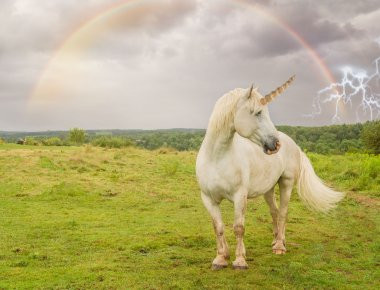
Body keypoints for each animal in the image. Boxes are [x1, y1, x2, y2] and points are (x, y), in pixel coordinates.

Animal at [196, 76, 344, 270]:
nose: (276, 144)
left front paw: (240, 261)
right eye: (258, 112)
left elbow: (238, 227)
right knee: (274, 211)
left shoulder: (239, 196)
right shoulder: (208, 198)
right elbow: (218, 227)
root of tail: (293, 143)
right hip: (268, 188)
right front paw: (220, 258)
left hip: (286, 183)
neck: (217, 158)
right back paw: (276, 241)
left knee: (282, 212)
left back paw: (280, 246)